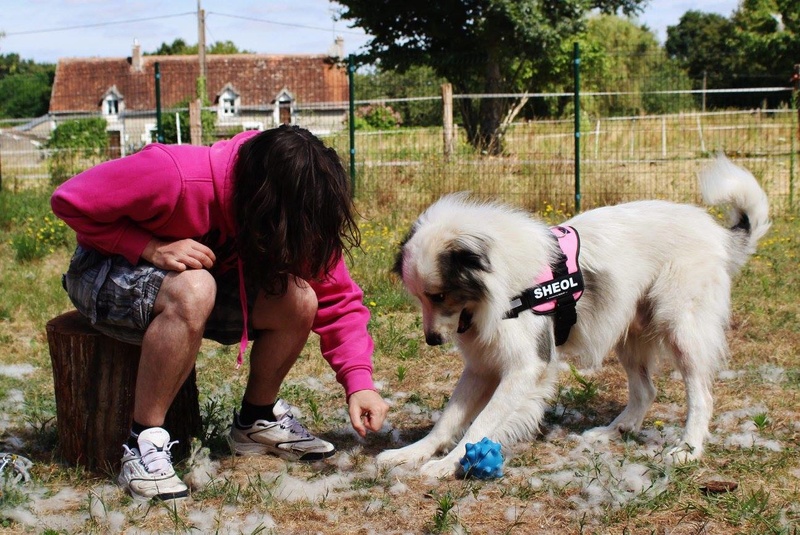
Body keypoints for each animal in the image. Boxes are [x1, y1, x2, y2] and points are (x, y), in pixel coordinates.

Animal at [378, 155, 772, 478]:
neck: (499, 282)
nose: (431, 340)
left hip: (681, 329)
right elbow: (448, 420)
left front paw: (448, 464)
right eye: (420, 298)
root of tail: (719, 235)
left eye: (439, 295)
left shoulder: (527, 367)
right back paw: (614, 431)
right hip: (629, 333)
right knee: (646, 390)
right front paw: (413, 453)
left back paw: (688, 449)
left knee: (701, 396)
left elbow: (480, 425)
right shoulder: (481, 367)